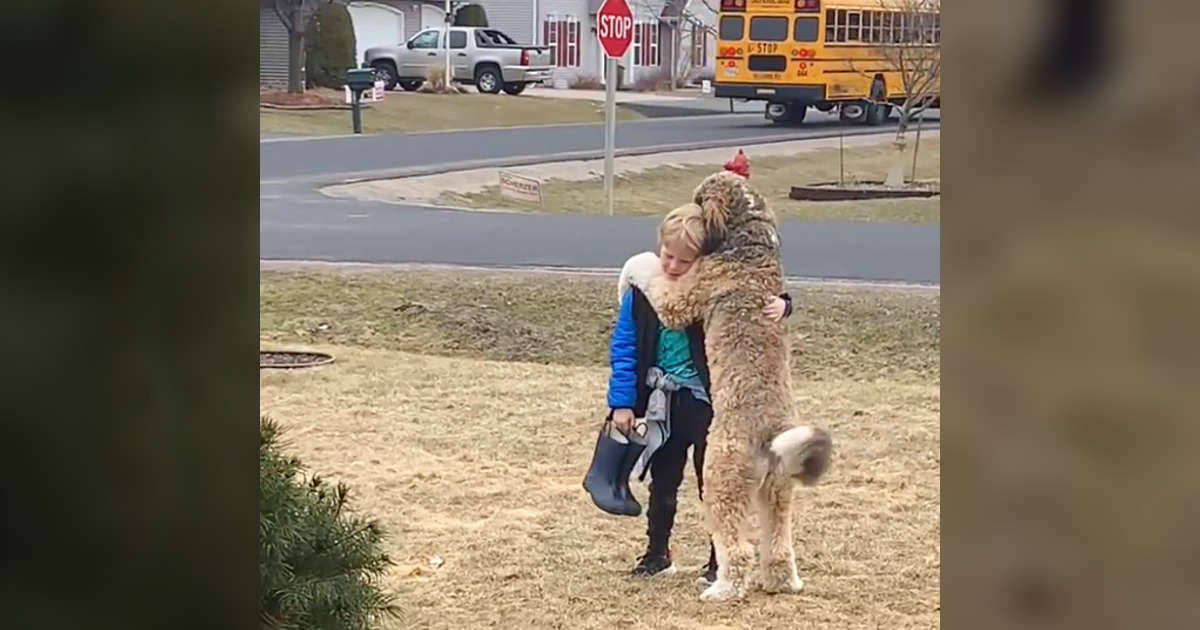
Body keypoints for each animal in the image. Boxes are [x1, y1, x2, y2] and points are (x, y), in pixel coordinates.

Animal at [619, 169, 835, 602]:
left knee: (737, 547)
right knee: (778, 544)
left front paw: (632, 268)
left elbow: (651, 272)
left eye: (698, 198)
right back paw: (783, 582)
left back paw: (722, 588)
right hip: (777, 491)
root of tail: (773, 436)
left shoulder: (682, 296)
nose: (690, 210)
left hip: (721, 480)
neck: (749, 241)